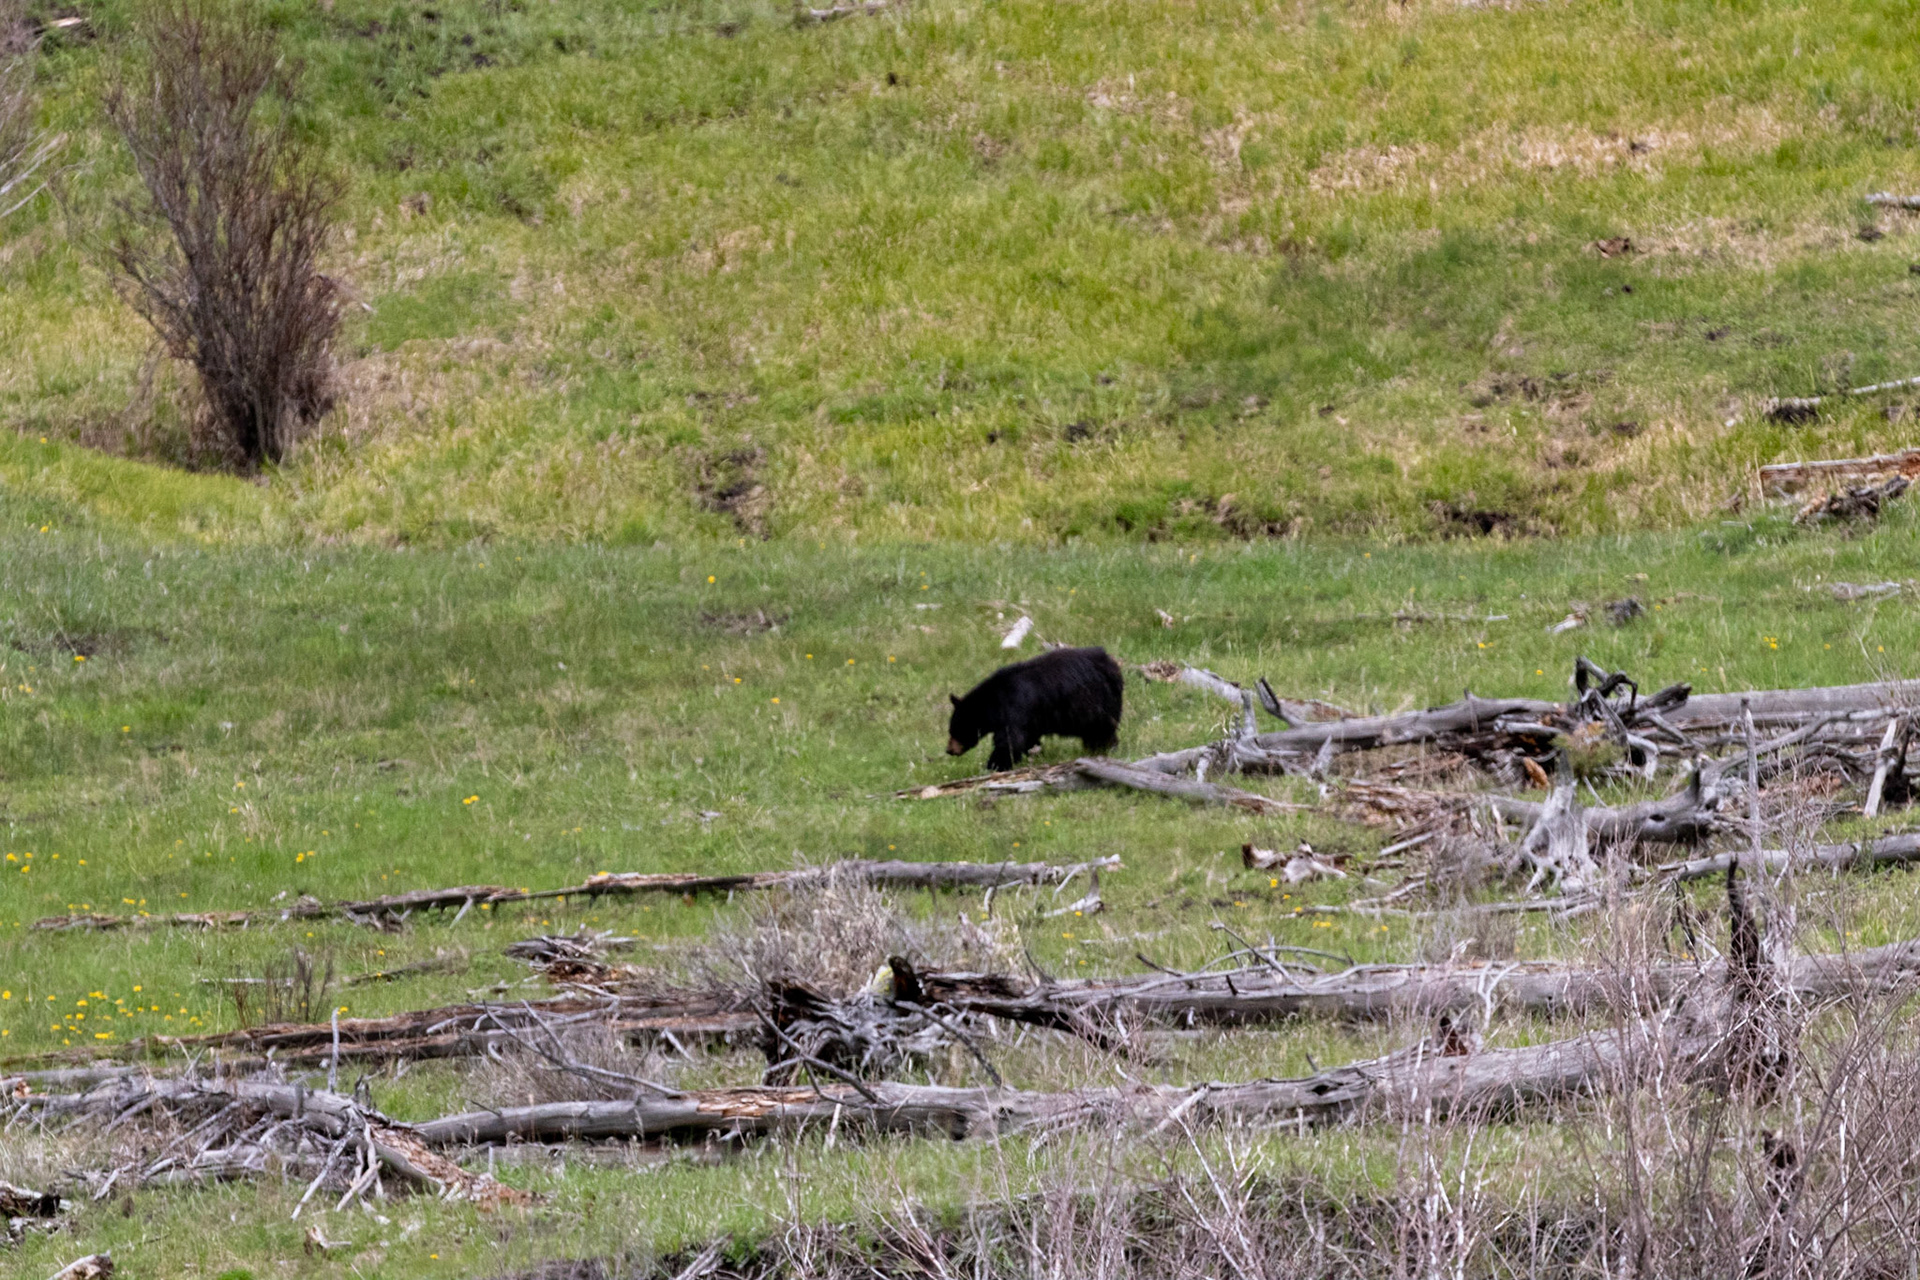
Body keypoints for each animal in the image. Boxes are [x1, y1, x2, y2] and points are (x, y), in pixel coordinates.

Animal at [946, 646, 1124, 772]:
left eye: (955, 730)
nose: (949, 750)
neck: (994, 703)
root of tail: (1111, 665)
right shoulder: (1030, 720)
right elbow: (1028, 739)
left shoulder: (1015, 708)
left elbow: (1011, 741)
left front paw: (993, 766)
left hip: (1094, 701)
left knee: (1100, 729)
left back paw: (1104, 749)